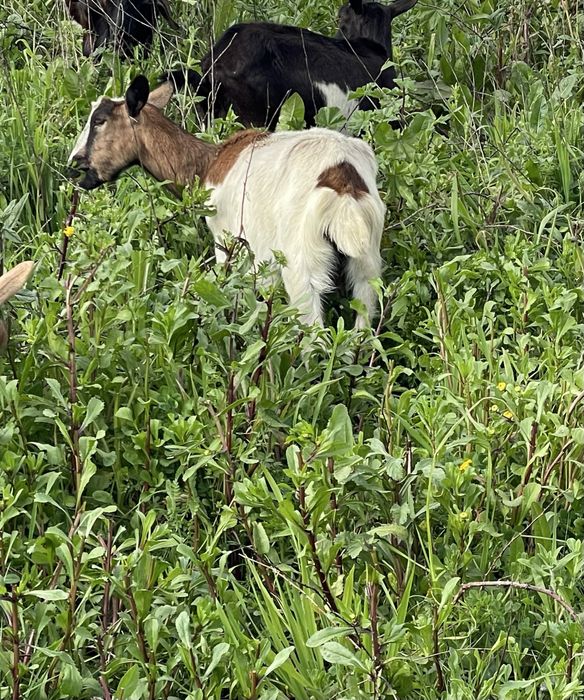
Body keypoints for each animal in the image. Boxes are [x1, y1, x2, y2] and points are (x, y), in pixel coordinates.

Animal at [68, 76, 385, 328]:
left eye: (99, 121)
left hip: (302, 262)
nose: (75, 162)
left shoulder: (228, 241)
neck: (208, 164)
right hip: (366, 263)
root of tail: (343, 181)